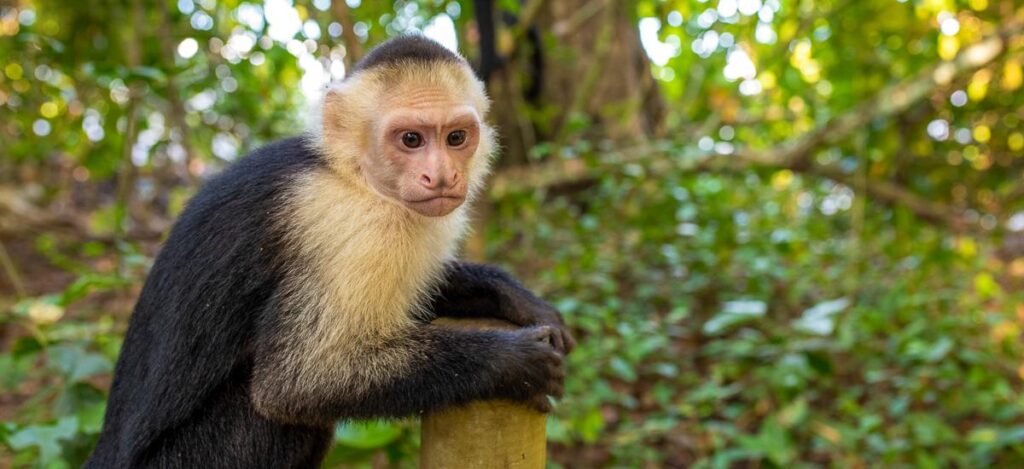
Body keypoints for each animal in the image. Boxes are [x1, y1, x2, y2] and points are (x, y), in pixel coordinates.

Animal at [85, 35, 574, 468]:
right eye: (411, 140)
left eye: (456, 138)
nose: (440, 176)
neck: (352, 175)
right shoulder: (352, 226)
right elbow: (296, 383)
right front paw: (510, 363)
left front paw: (512, 296)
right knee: (277, 419)